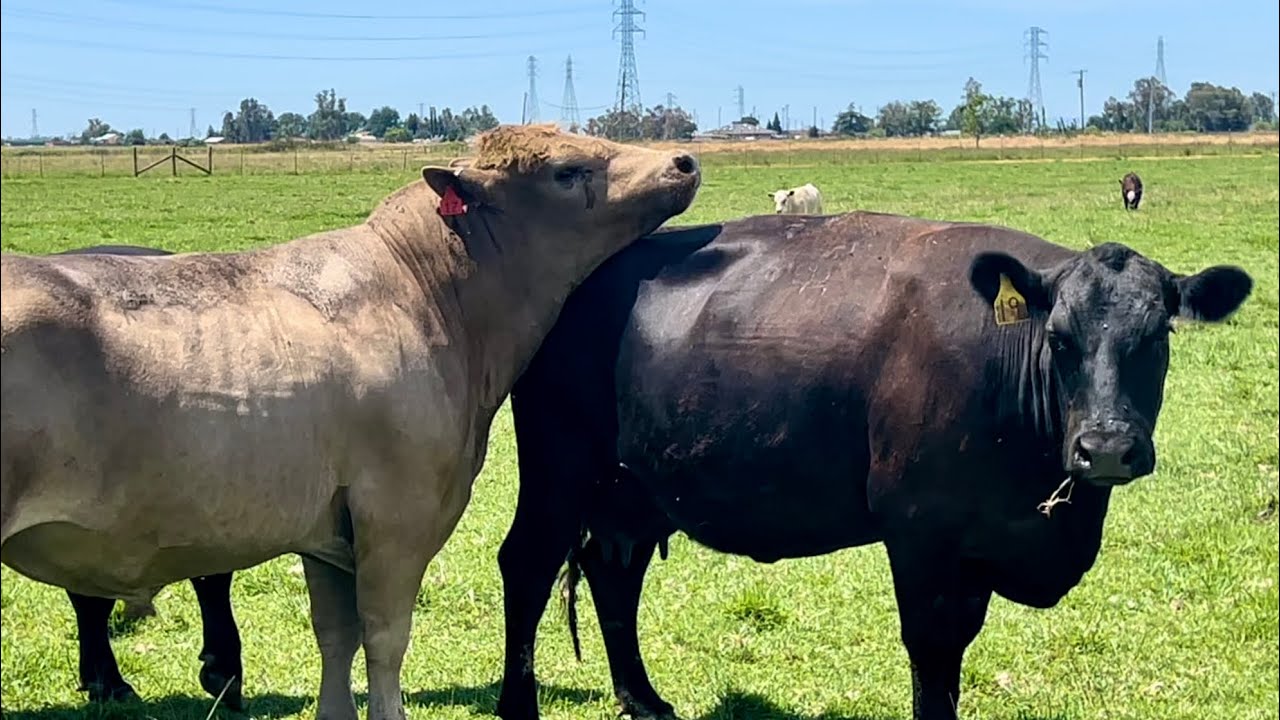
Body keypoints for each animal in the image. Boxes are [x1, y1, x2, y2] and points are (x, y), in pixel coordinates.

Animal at [491, 211, 1252, 720]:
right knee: (526, 566)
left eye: (1157, 337)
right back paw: (519, 705)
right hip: (558, 471)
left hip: (633, 489)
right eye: (1059, 338)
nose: (1107, 447)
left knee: (613, 575)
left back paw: (644, 700)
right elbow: (933, 652)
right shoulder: (920, 532)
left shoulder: (976, 546)